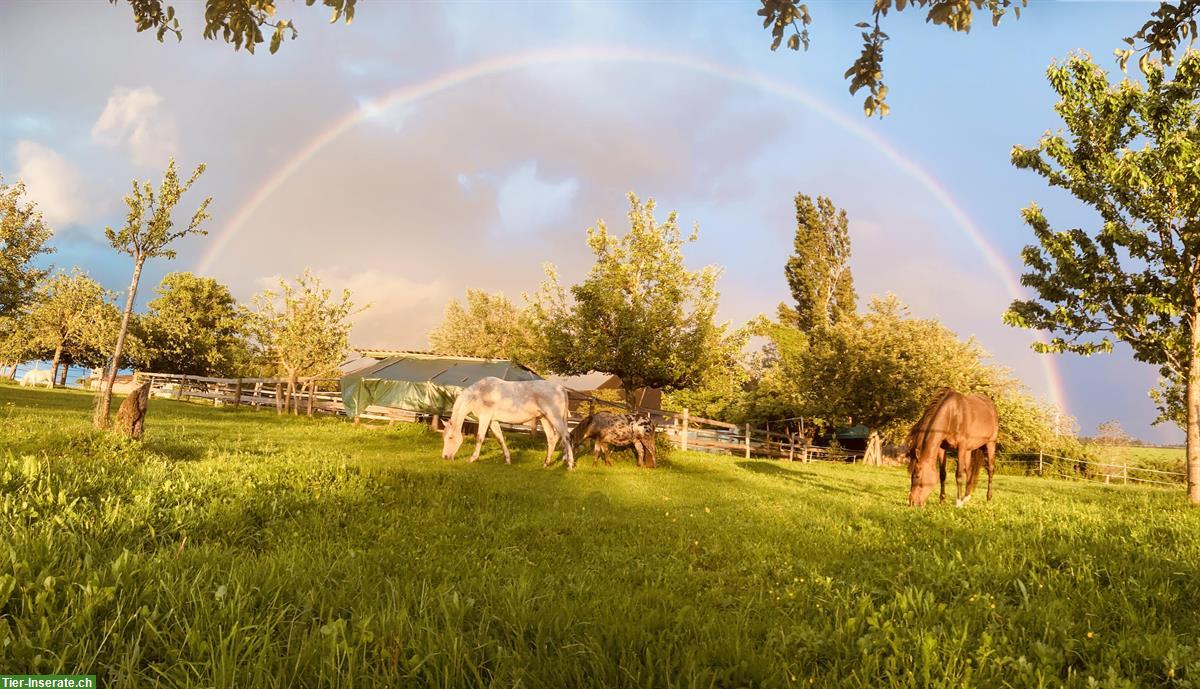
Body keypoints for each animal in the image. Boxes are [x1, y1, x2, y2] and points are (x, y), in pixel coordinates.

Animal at [444, 379, 578, 470]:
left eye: (450, 437)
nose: (445, 457)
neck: (479, 393)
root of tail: (560, 388)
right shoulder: (493, 421)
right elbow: (500, 439)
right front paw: (507, 460)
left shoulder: (485, 418)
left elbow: (480, 438)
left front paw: (472, 458)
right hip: (544, 418)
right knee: (551, 439)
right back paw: (546, 463)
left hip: (555, 418)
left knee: (566, 437)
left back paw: (570, 465)